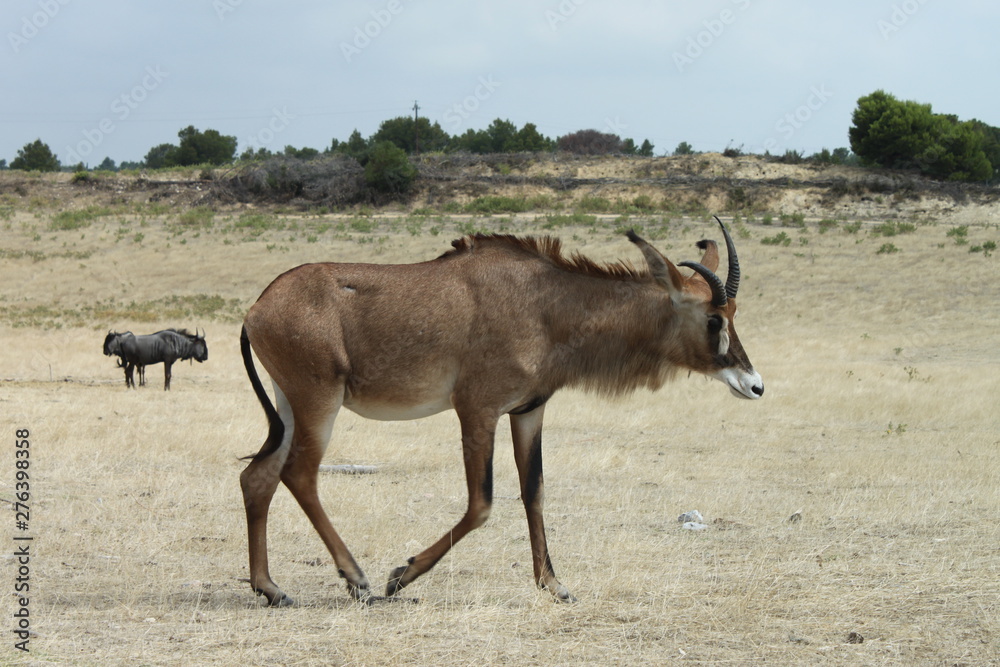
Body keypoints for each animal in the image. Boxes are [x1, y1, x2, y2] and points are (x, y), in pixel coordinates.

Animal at [239, 217, 763, 606]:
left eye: (734, 314)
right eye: (713, 318)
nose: (754, 384)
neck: (547, 305)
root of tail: (257, 308)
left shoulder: (528, 411)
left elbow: (534, 491)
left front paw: (554, 584)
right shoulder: (477, 410)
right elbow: (482, 503)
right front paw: (400, 575)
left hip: (290, 407)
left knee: (258, 476)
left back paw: (272, 588)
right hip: (319, 404)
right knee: (299, 474)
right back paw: (358, 580)